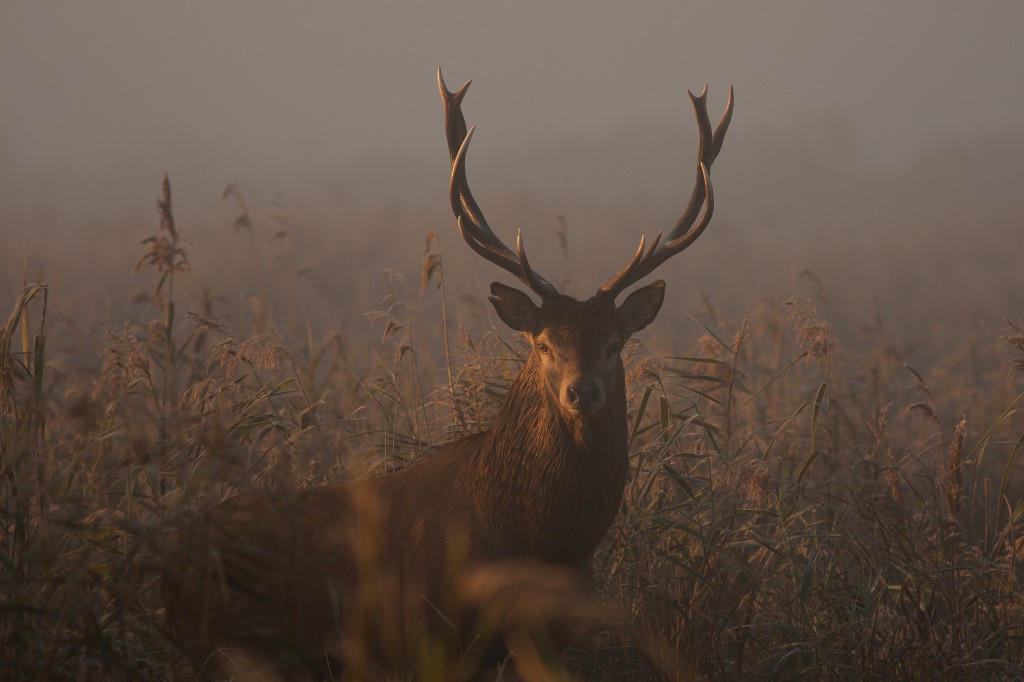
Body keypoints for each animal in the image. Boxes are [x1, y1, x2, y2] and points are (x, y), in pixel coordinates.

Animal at [163, 71, 733, 675]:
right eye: (544, 344)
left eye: (614, 343)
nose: (582, 391)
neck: (540, 539)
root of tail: (165, 565)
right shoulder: (422, 630)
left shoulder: (549, 636)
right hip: (219, 642)